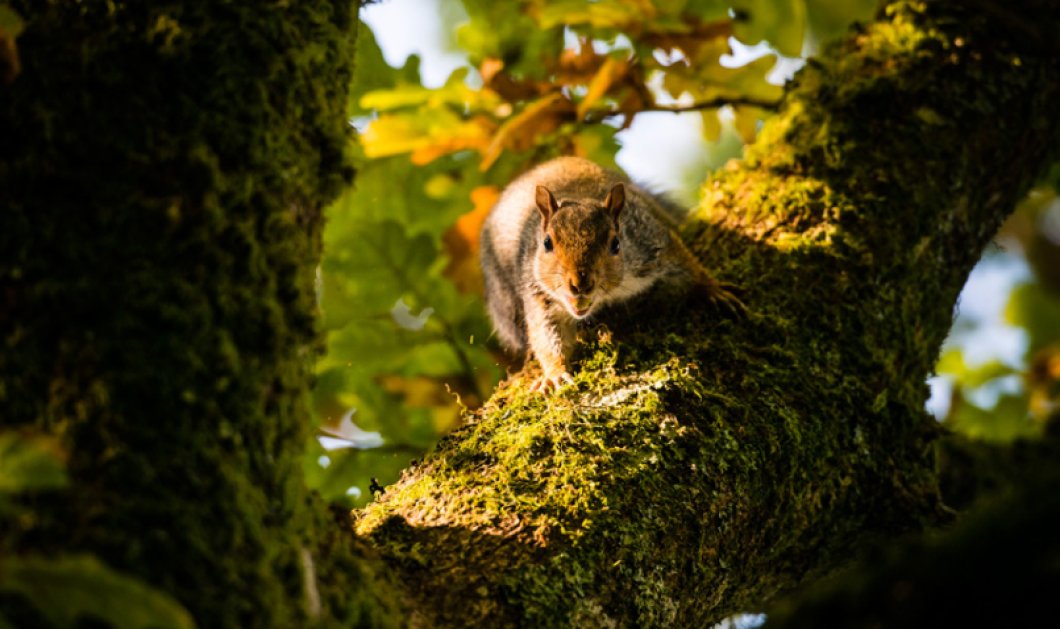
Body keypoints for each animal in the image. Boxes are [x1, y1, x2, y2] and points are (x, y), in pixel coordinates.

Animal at [481, 155, 746, 392]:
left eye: (616, 244)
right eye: (547, 243)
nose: (580, 284)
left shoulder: (650, 244)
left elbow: (687, 266)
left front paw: (712, 290)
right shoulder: (537, 293)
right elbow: (546, 335)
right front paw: (555, 373)